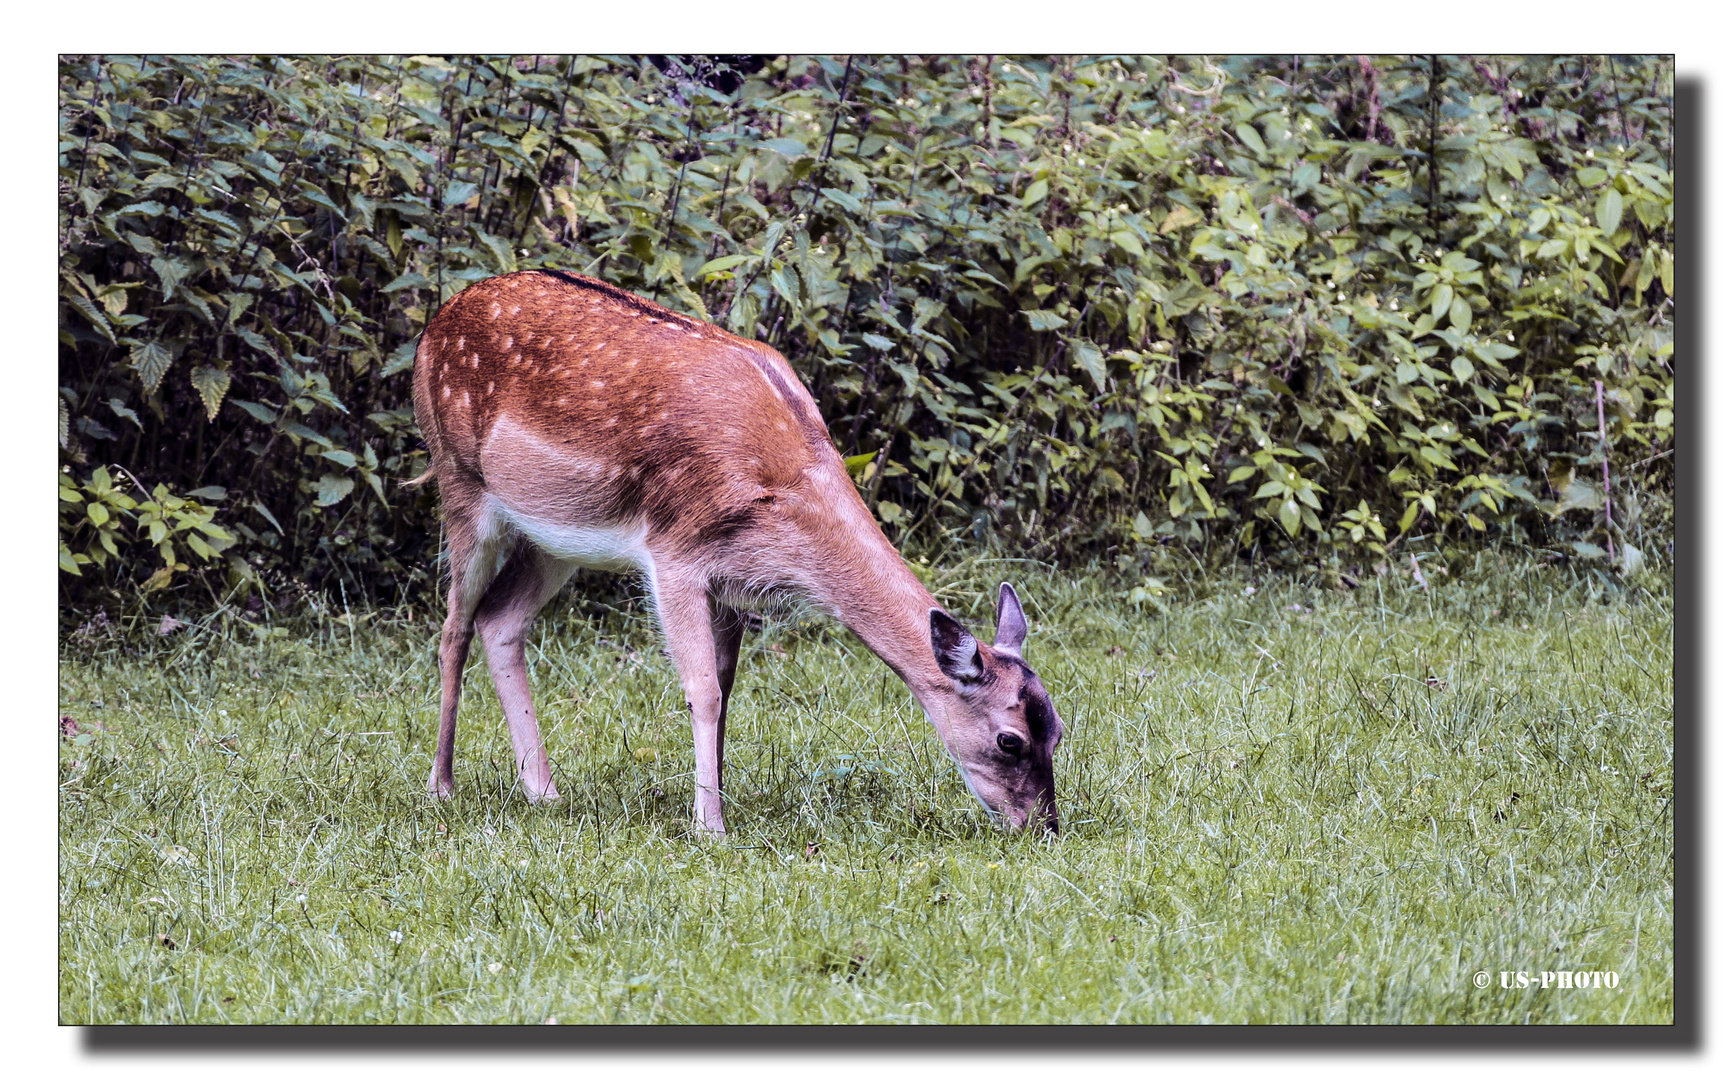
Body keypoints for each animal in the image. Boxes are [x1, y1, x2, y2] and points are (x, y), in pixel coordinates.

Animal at [412, 270, 1060, 835]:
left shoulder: (730, 581)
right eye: (1010, 740)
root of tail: (436, 322)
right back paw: (441, 785)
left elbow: (726, 688)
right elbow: (702, 689)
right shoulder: (672, 551)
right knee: (454, 627)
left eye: (1056, 728)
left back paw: (542, 790)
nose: (1044, 826)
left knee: (501, 621)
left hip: (556, 536)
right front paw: (710, 826)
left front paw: (717, 800)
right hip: (460, 482)